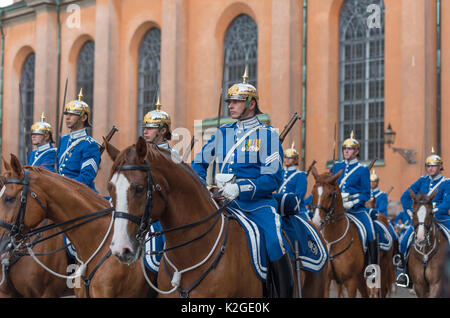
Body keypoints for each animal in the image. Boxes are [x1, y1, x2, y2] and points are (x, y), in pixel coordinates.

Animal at [310, 166, 370, 298]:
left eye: (330, 194)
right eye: (313, 192)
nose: (316, 222)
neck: (333, 239)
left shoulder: (351, 282)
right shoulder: (326, 281)